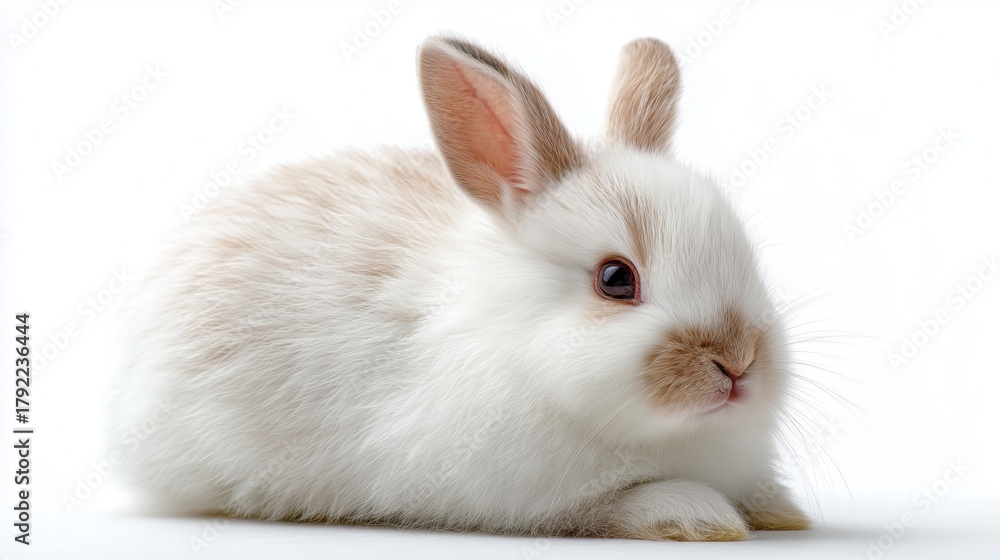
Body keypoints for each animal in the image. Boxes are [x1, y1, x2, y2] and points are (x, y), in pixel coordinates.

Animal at [110, 35, 810, 541]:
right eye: (616, 280)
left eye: (745, 256)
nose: (738, 362)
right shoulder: (510, 491)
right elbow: (613, 504)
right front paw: (697, 516)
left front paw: (780, 510)